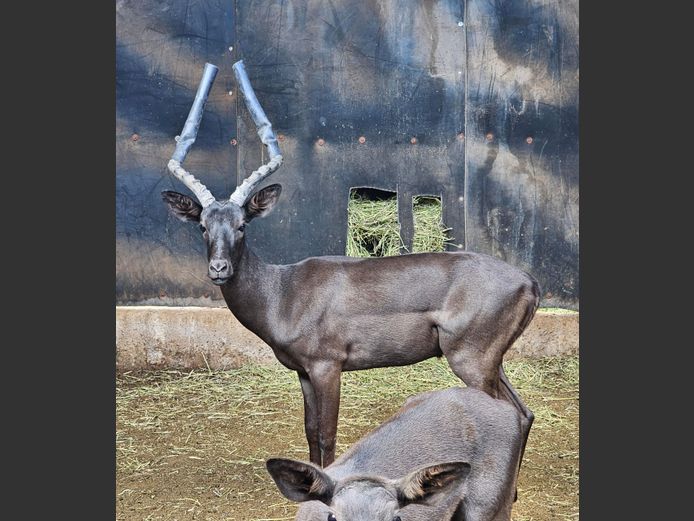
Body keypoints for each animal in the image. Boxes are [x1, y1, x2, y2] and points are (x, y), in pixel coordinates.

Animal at [162, 61, 540, 469]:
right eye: (202, 226)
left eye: (242, 225)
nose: (219, 269)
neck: (282, 293)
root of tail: (529, 283)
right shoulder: (304, 373)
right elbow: (310, 431)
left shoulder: (328, 366)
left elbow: (327, 436)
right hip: (492, 362)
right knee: (524, 412)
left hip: (471, 361)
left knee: (507, 413)